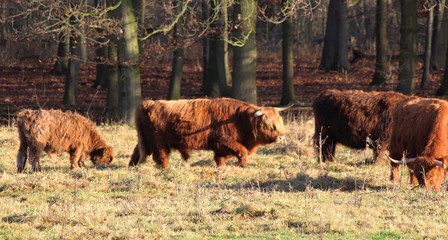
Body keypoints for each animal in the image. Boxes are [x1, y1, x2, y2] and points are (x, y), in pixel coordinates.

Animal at [128, 96, 292, 168]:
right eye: (270, 125)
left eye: (279, 122)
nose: (281, 137)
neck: (240, 119)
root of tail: (148, 103)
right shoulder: (224, 139)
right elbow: (242, 151)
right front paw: (243, 165)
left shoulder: (219, 145)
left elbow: (220, 158)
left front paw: (220, 167)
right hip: (158, 141)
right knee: (161, 156)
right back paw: (165, 168)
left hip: (145, 139)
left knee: (137, 151)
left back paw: (132, 166)